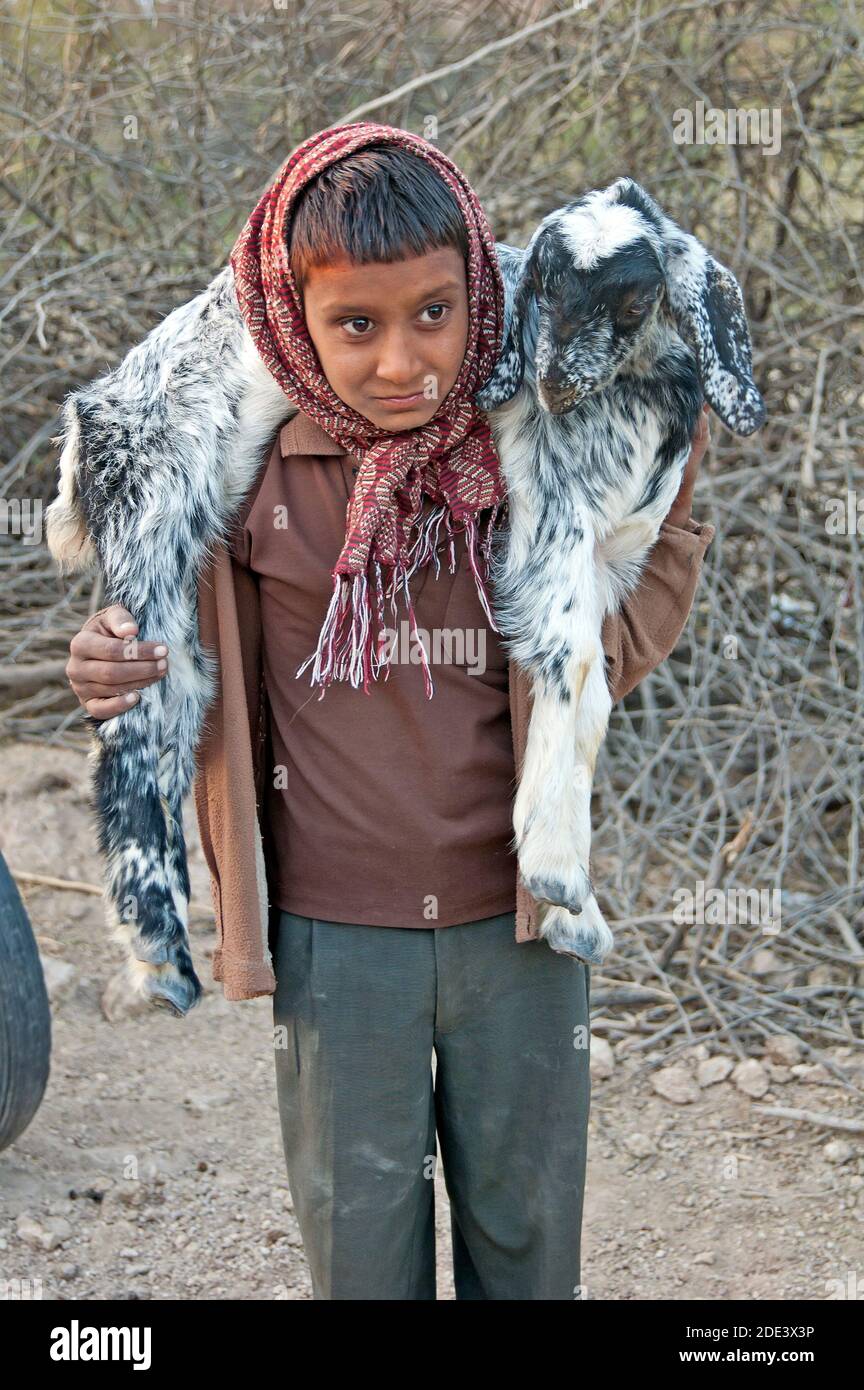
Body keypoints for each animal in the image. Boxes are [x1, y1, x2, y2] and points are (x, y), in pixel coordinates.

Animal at [477, 176, 766, 967]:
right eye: (541, 286)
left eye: (635, 304)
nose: (550, 385)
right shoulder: (552, 521)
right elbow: (574, 664)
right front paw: (552, 864)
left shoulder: (614, 559)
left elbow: (598, 699)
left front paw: (574, 909)